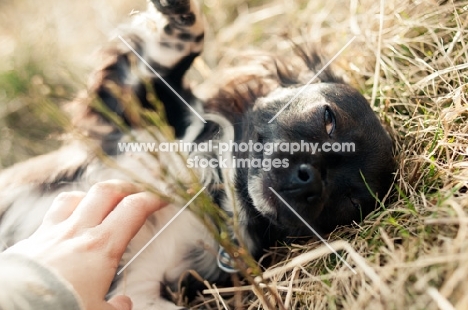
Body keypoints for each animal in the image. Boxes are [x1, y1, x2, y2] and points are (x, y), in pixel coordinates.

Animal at [0, 1, 394, 308]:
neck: (218, 187)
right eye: (327, 118)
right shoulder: (127, 112)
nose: (311, 178)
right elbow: (180, 47)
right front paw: (179, 11)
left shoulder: (138, 286)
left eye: (349, 200)